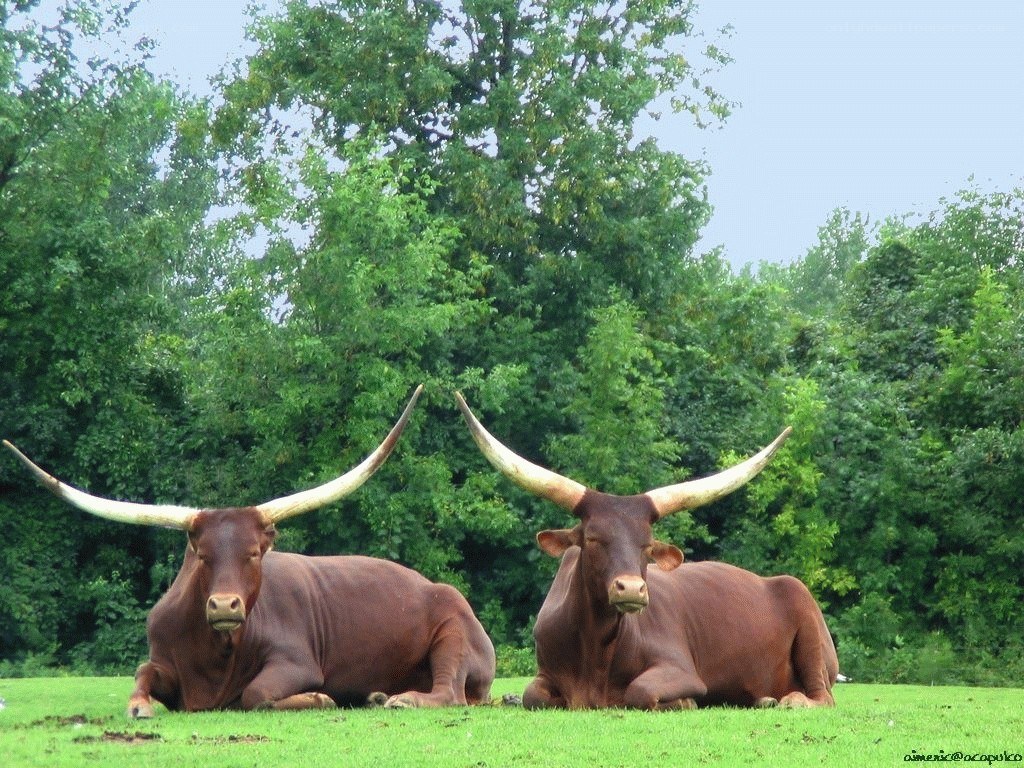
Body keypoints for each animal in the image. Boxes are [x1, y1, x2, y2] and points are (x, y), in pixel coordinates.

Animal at [4, 386, 496, 717]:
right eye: (201, 555)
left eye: (256, 553)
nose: (225, 605)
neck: (213, 655)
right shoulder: (163, 660)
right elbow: (142, 672)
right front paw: (140, 706)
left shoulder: (295, 660)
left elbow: (257, 694)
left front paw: (317, 697)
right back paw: (376, 695)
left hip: (453, 634)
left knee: (449, 691)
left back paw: (399, 700)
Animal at [455, 392, 838, 710]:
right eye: (592, 538)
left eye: (648, 545)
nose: (631, 589)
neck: (595, 648)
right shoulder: (544, 675)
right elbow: (532, 696)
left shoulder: (680, 668)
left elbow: (640, 691)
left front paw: (684, 702)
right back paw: (764, 700)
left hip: (805, 616)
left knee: (822, 696)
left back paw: (791, 701)